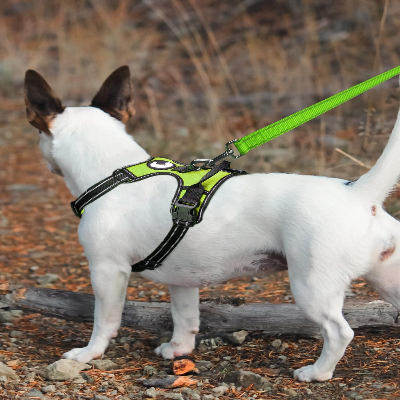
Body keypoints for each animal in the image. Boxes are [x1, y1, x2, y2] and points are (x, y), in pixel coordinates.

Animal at [24, 65, 400, 382]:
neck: (114, 172)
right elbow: (185, 318)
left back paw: (317, 372)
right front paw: (179, 350)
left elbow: (105, 319)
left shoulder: (107, 270)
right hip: (387, 281)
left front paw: (88, 354)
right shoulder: (182, 280)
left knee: (339, 331)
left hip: (312, 287)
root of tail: (358, 194)